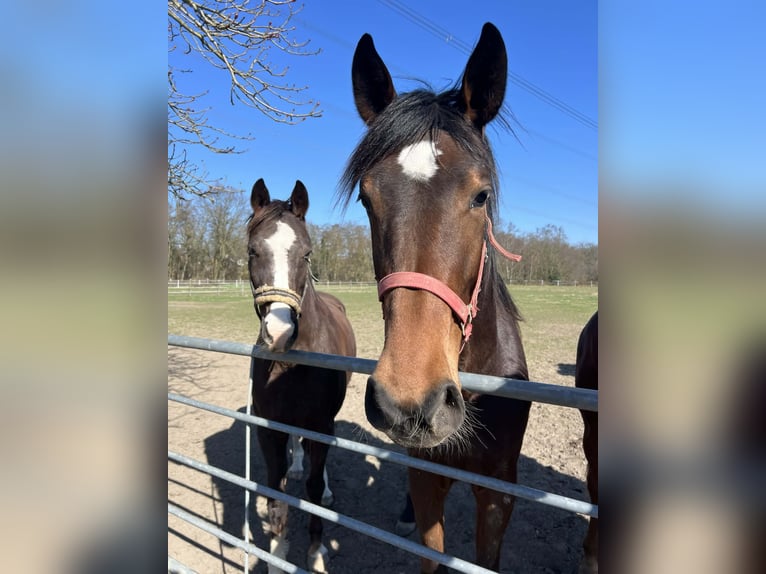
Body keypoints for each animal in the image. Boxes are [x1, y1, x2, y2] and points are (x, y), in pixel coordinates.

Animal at [247, 178, 356, 573]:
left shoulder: (321, 424)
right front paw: (277, 555)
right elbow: (275, 494)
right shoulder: (269, 429)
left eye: (307, 254)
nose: (279, 332)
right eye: (253, 251)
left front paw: (316, 552)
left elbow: (311, 490)